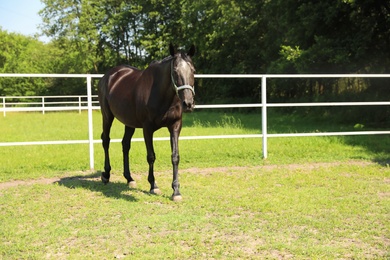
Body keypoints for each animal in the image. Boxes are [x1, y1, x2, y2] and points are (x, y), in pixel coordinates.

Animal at [97, 44, 195, 201]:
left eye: (193, 70)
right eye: (175, 71)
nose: (188, 103)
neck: (161, 95)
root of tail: (109, 76)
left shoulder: (175, 126)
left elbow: (175, 157)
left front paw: (176, 191)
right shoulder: (147, 128)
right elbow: (151, 156)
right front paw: (153, 185)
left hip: (129, 122)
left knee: (125, 144)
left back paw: (129, 178)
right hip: (107, 115)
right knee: (106, 140)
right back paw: (106, 175)